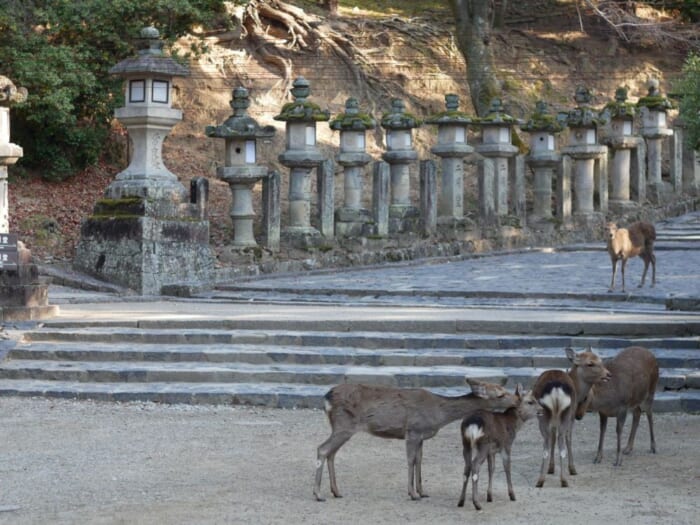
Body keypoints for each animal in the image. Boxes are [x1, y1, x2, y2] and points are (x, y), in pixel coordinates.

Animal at [314, 376, 520, 500]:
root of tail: (326, 398)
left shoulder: (421, 436)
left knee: (331, 453)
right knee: (322, 449)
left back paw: (336, 491)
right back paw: (318, 494)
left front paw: (422, 492)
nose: (518, 400)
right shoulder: (412, 430)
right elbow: (411, 460)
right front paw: (412, 494)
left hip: (341, 427)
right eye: (501, 394)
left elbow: (419, 460)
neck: (439, 414)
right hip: (344, 425)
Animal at [456, 382, 540, 510]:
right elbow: (507, 467)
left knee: (467, 467)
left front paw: (489, 496)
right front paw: (512, 495)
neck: (513, 425)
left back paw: (461, 501)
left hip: (465, 443)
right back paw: (477, 503)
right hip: (483, 444)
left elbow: (492, 469)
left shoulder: (492, 451)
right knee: (475, 465)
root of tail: (473, 423)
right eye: (530, 401)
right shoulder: (506, 445)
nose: (542, 409)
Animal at [532, 348, 608, 488]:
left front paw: (551, 468)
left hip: (546, 415)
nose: (608, 374)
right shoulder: (571, 417)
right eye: (590, 363)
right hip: (564, 414)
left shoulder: (555, 421)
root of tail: (556, 388)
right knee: (562, 441)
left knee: (549, 442)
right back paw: (561, 479)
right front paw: (572, 469)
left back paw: (545, 480)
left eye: (601, 360)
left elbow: (553, 438)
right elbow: (569, 438)